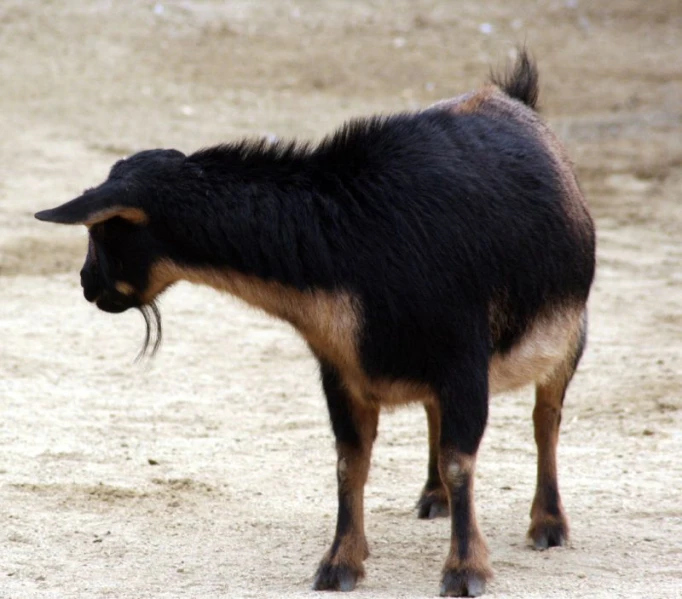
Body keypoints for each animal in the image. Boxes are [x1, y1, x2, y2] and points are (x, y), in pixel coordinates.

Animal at [34, 50, 592, 596]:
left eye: (103, 231)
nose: (87, 284)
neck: (352, 240)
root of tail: (515, 98)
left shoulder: (463, 363)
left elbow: (460, 461)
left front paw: (464, 572)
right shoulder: (340, 370)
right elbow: (350, 462)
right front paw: (340, 563)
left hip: (570, 333)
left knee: (546, 418)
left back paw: (548, 524)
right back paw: (433, 499)